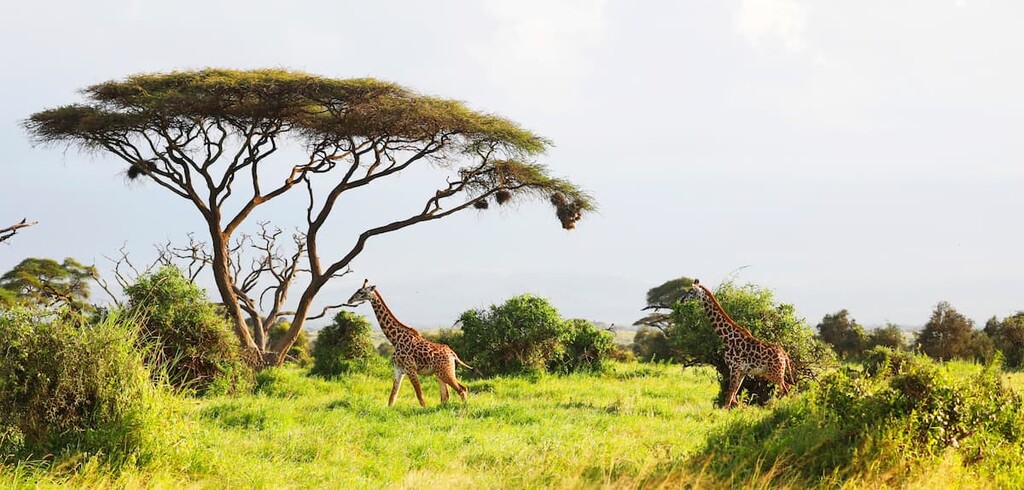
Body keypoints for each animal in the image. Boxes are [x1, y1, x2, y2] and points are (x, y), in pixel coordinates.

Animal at [345, 279, 481, 407]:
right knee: (445, 395)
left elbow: (420, 396)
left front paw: (424, 411)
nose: (349, 300)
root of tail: (453, 354)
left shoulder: (410, 368)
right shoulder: (398, 369)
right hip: (440, 373)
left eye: (361, 292)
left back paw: (464, 409)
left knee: (462, 389)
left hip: (446, 371)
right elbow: (392, 397)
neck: (395, 339)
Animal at [678, 279, 794, 408]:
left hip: (774, 373)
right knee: (787, 387)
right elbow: (734, 396)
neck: (726, 338)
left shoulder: (734, 367)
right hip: (773, 373)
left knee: (786, 388)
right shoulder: (742, 371)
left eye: (691, 292)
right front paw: (742, 409)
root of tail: (784, 355)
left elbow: (729, 396)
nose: (681, 300)